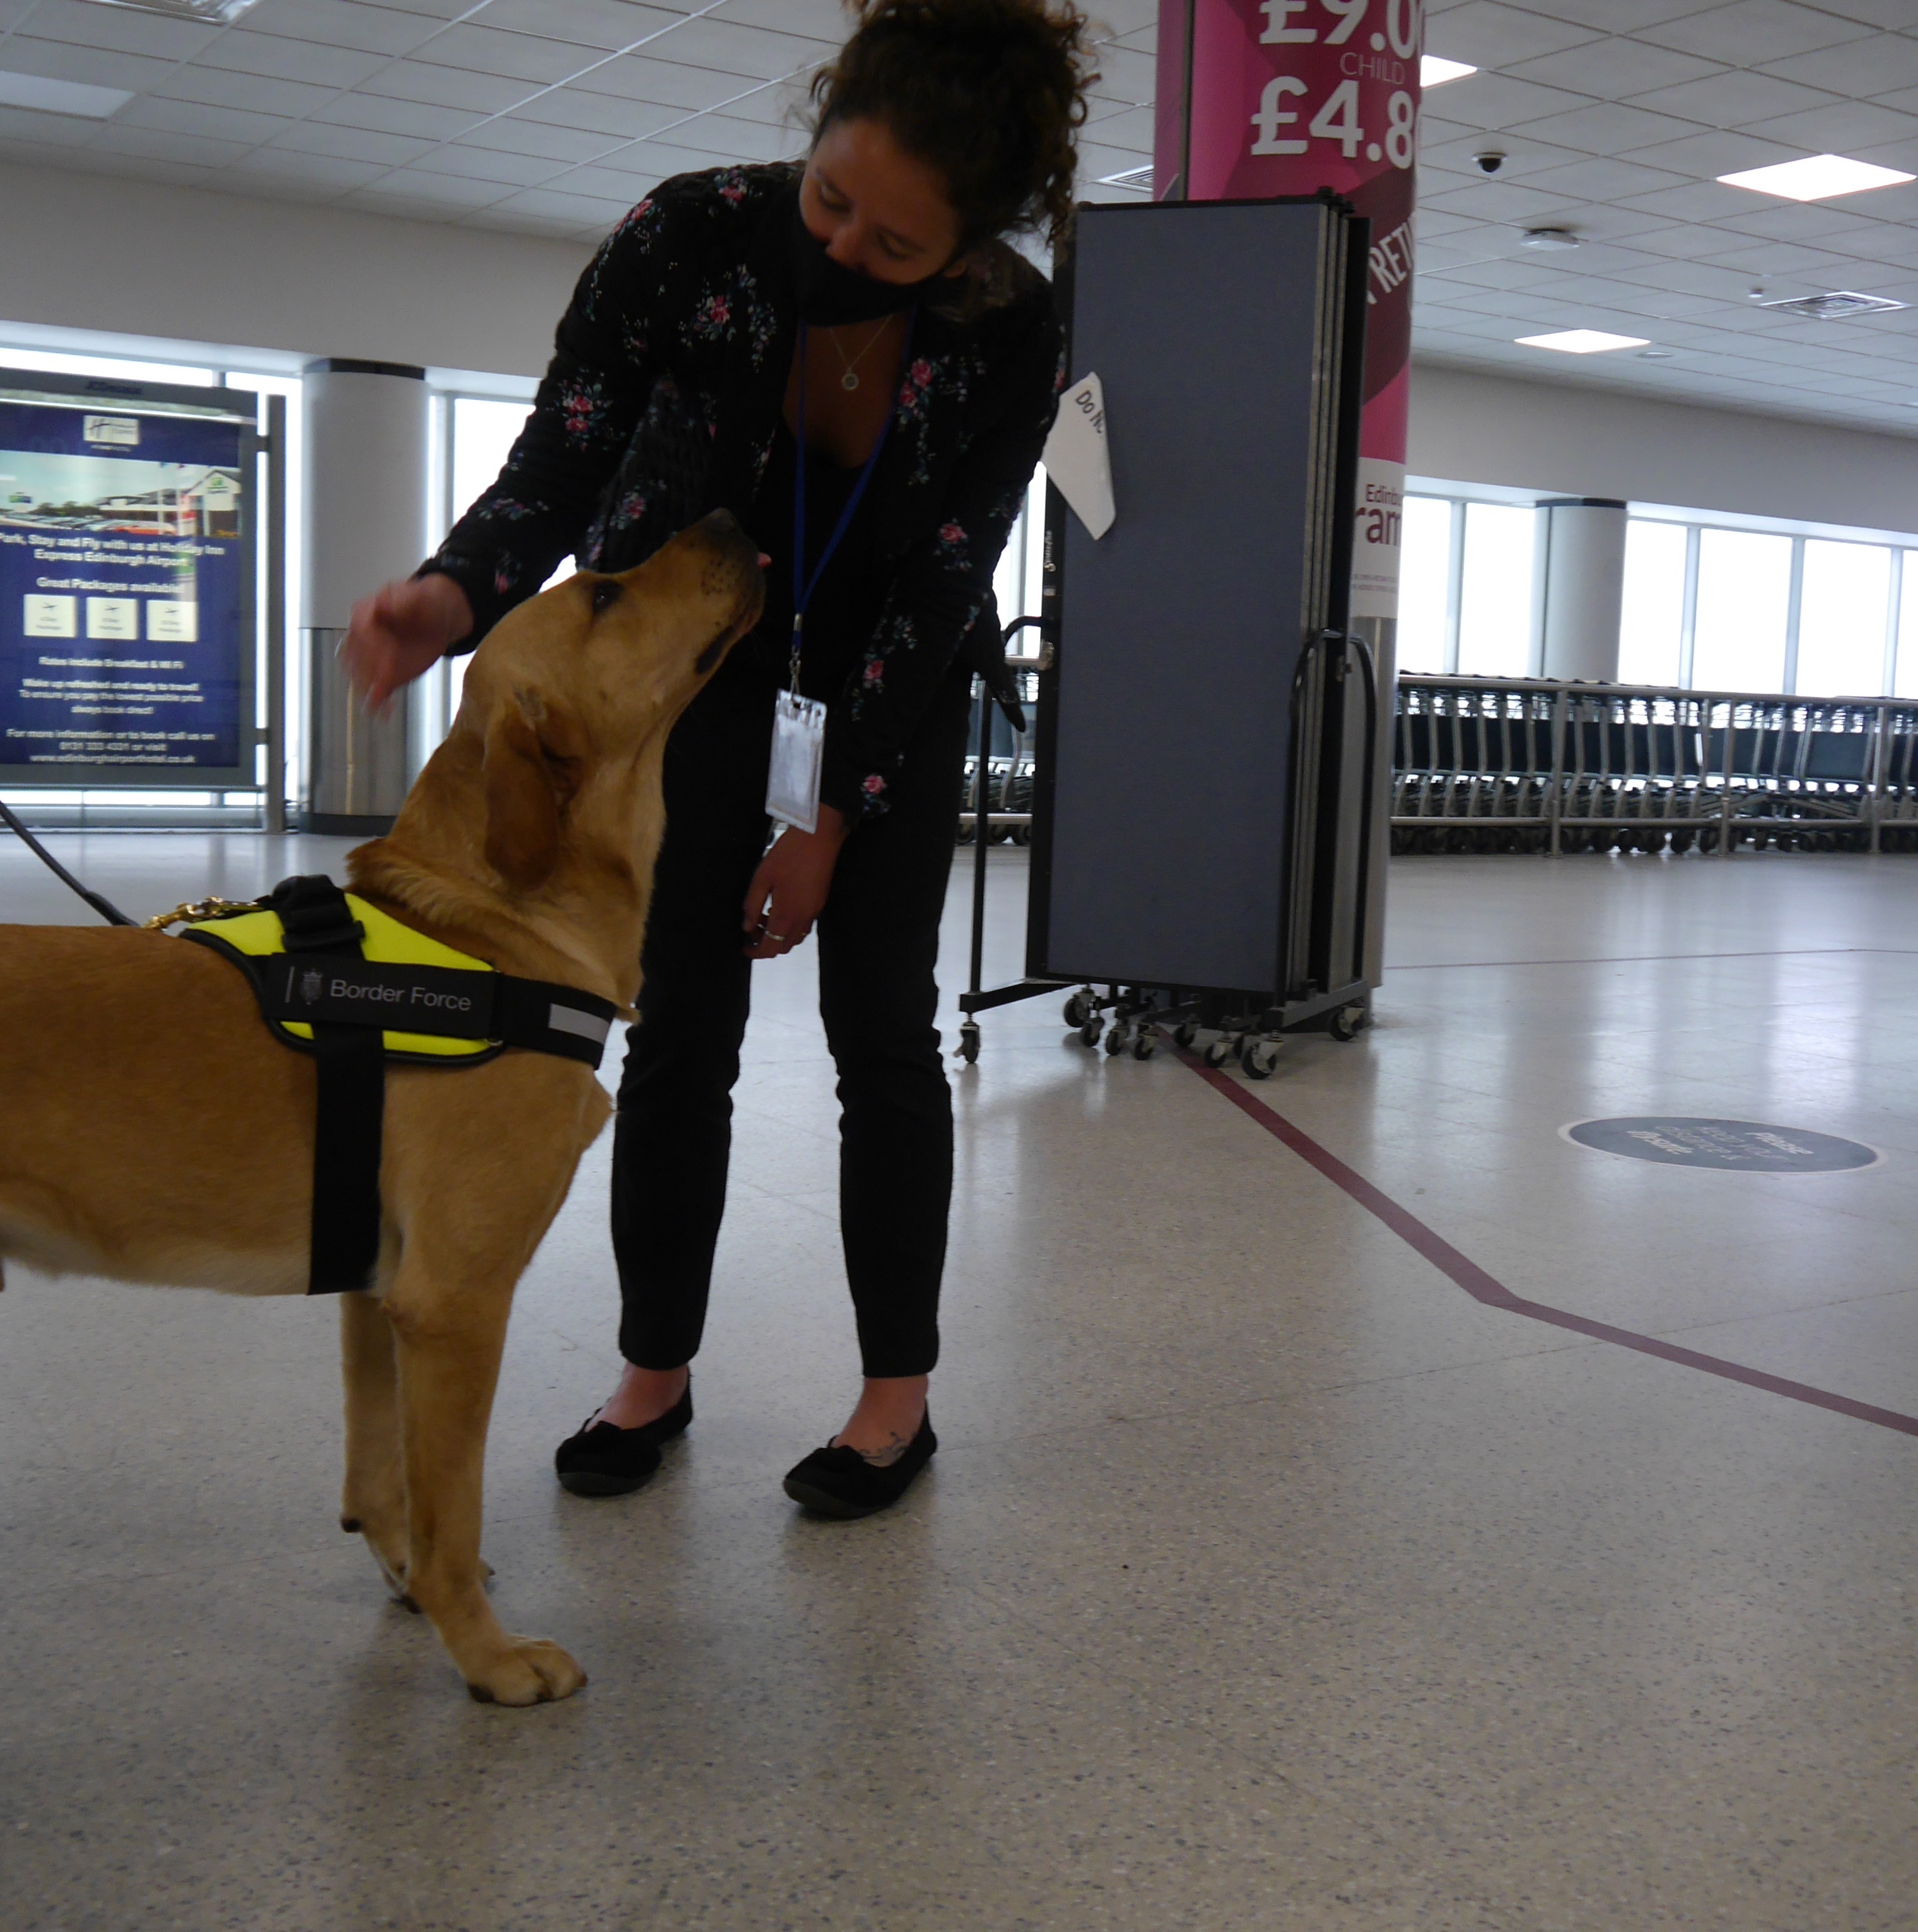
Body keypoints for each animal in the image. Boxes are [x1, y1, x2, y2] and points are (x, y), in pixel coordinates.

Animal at [0, 511, 764, 1705]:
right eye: (601, 592)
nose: (732, 516)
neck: (497, 931)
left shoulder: (375, 1284)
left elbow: (383, 1475)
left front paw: (406, 1580)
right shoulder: (455, 1302)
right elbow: (454, 1507)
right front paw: (488, 1654)